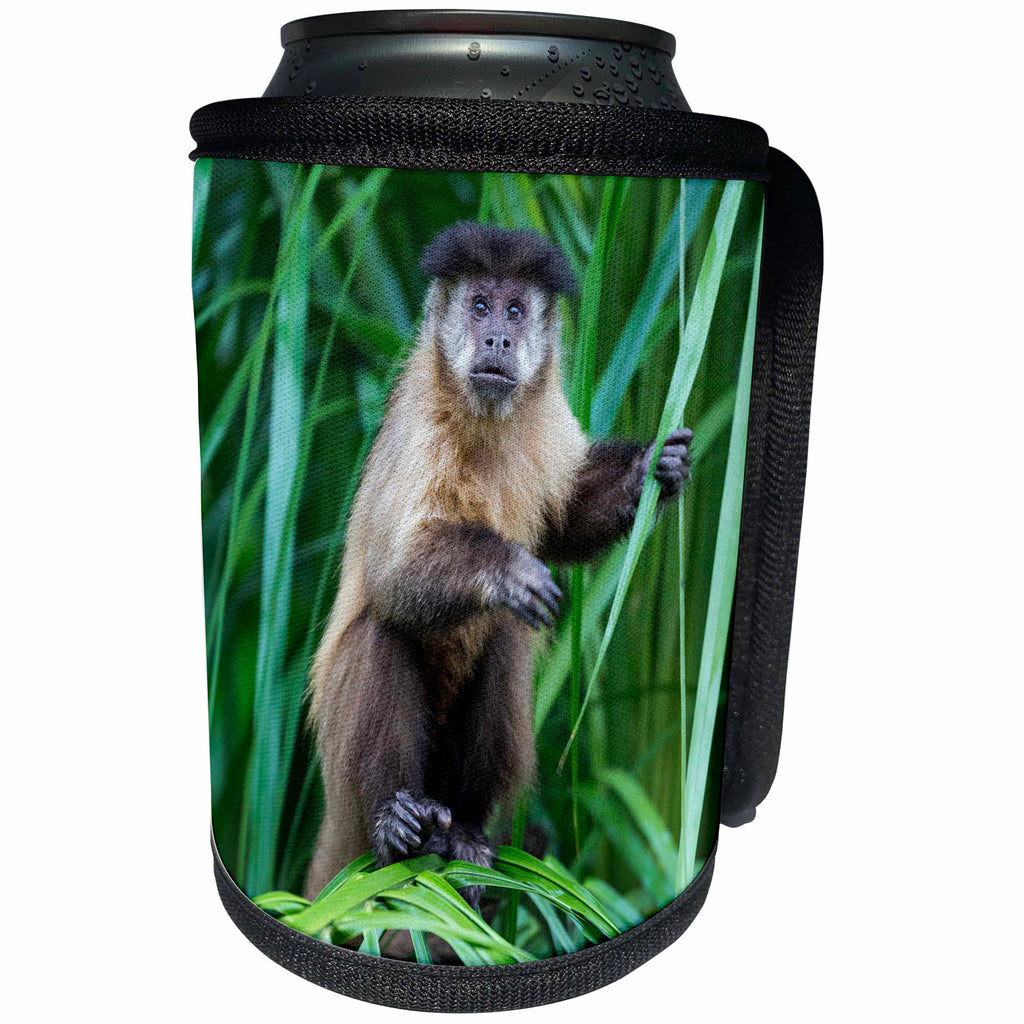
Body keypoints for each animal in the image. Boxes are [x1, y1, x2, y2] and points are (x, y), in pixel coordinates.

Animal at [303, 221, 693, 908]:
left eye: (514, 311)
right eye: (480, 306)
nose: (497, 339)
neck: (482, 422)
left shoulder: (548, 418)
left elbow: (565, 521)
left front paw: (651, 467)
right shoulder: (420, 433)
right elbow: (395, 575)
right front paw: (505, 568)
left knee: (506, 639)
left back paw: (465, 831)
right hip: (347, 778)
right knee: (380, 633)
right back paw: (393, 823)